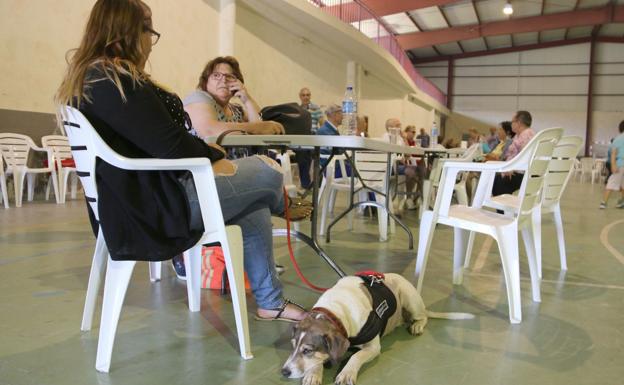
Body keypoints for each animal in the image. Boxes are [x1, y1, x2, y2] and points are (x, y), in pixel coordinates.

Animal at [280, 272, 470, 384]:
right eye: (292, 346)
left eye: (307, 350)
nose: (284, 372)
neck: (336, 311)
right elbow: (318, 361)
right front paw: (313, 373)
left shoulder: (373, 347)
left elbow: (355, 356)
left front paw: (347, 373)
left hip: (410, 299)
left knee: (423, 317)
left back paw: (417, 325)